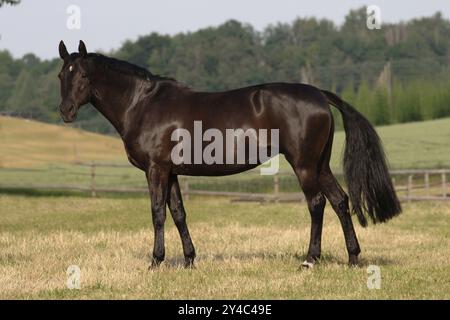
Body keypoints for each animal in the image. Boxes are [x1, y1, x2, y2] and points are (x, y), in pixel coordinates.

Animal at [57, 41, 400, 268]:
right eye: (62, 75)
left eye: (83, 76)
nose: (66, 111)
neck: (143, 104)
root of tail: (318, 93)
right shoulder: (172, 171)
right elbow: (178, 213)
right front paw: (189, 260)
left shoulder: (156, 169)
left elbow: (157, 213)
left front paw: (156, 262)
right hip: (320, 164)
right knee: (340, 201)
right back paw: (353, 258)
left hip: (304, 165)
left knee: (316, 204)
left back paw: (310, 260)